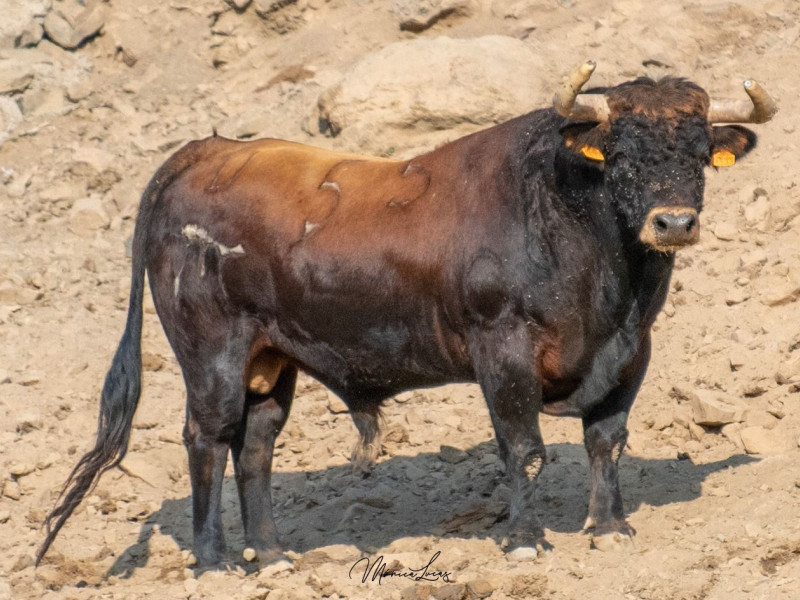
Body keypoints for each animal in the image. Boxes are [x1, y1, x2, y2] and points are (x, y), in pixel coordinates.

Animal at [36, 61, 776, 568]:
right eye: (620, 156)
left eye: (700, 156)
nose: (673, 223)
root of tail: (207, 151)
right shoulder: (503, 352)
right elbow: (525, 448)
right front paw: (526, 539)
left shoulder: (630, 353)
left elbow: (606, 440)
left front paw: (610, 527)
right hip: (211, 352)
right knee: (207, 438)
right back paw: (215, 561)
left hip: (271, 361)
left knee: (255, 446)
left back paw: (271, 556)